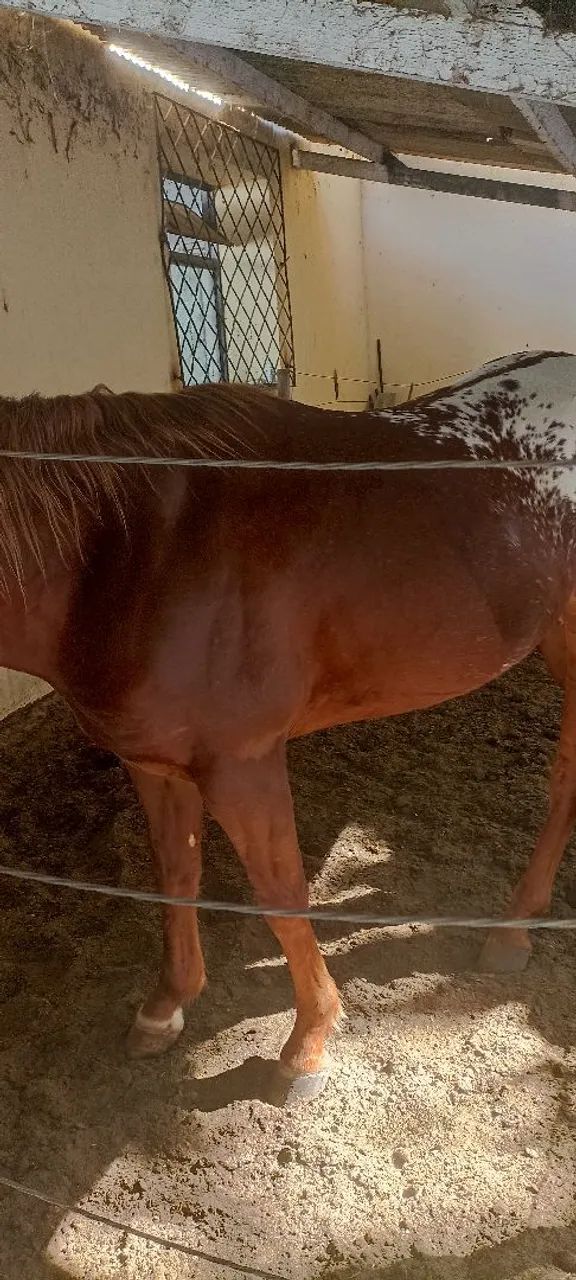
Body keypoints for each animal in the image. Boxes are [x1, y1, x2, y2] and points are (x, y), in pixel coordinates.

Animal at [1, 348, 576, 1101]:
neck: (127, 552)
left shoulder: (243, 765)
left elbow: (282, 895)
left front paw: (307, 1045)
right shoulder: (154, 764)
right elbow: (175, 873)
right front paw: (166, 1007)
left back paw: (512, 930)